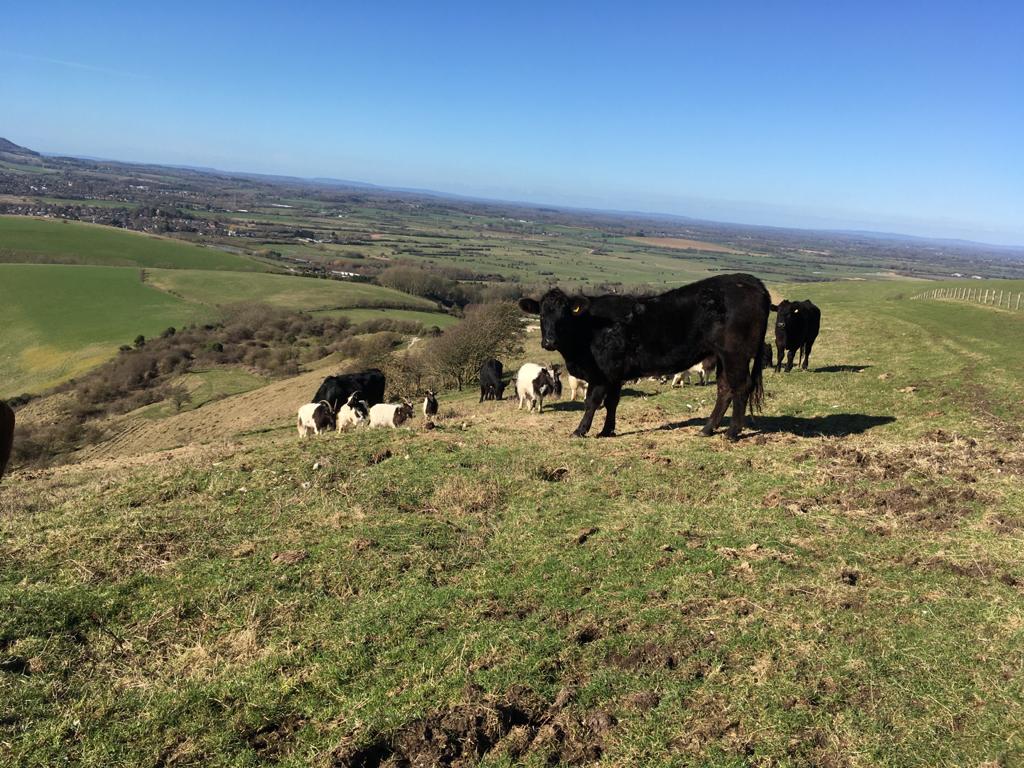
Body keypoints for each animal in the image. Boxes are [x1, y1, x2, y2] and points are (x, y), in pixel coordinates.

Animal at [519, 273, 770, 440]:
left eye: (564, 315)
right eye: (542, 314)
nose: (549, 341)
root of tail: (751, 281)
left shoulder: (601, 374)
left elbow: (592, 403)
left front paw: (580, 430)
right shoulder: (615, 375)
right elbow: (612, 403)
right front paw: (607, 430)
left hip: (735, 354)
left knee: (741, 387)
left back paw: (732, 432)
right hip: (723, 357)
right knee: (725, 388)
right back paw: (707, 429)